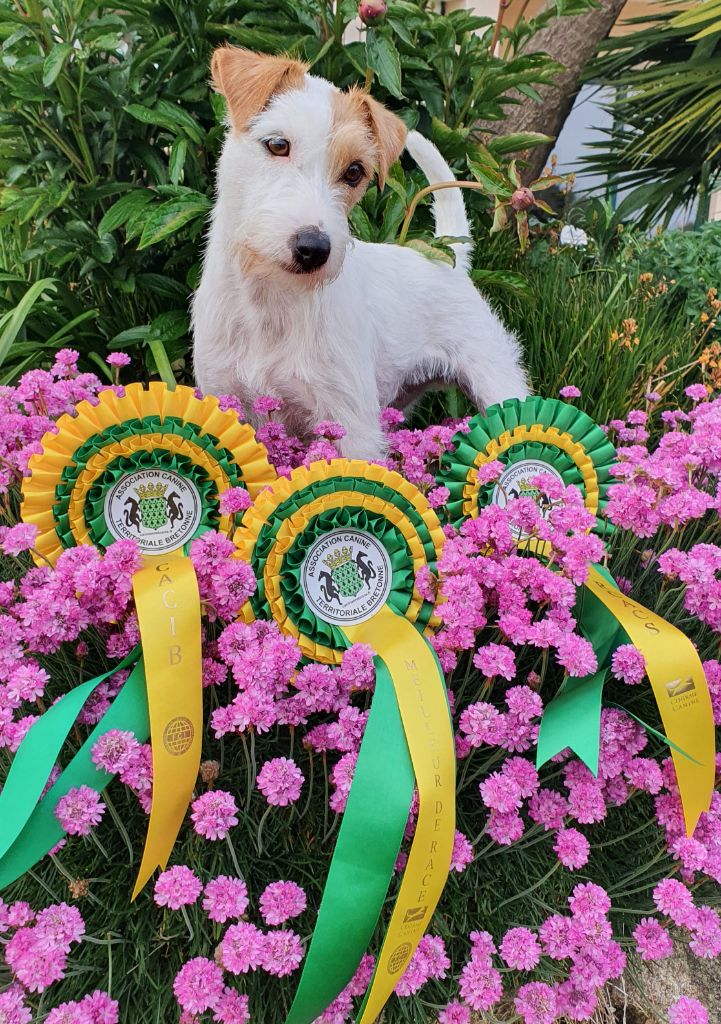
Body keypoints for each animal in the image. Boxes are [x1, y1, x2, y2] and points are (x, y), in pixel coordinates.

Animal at [191, 49, 528, 458]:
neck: (271, 304)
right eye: (277, 145)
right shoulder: (226, 397)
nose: (313, 248)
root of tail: (447, 261)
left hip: (495, 378)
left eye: (354, 171)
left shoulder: (352, 427)